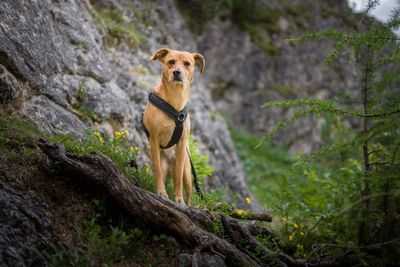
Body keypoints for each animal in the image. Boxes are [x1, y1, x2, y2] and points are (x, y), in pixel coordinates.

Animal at [143, 48, 206, 207]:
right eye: (171, 62)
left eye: (187, 64)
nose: (177, 72)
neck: (174, 101)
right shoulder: (154, 140)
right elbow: (158, 172)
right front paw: (161, 193)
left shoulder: (182, 144)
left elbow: (178, 181)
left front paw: (179, 200)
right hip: (164, 163)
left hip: (187, 172)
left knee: (188, 190)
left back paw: (188, 205)